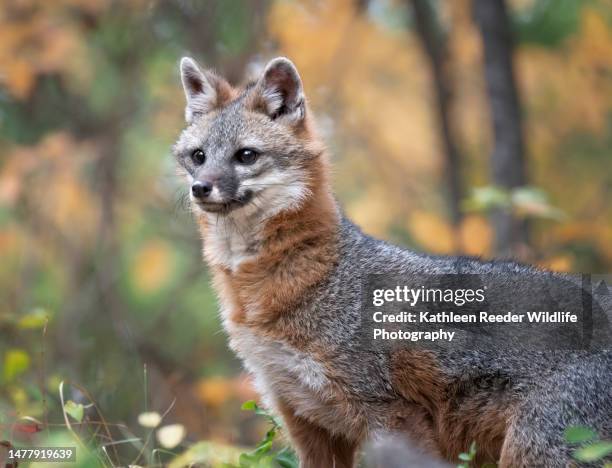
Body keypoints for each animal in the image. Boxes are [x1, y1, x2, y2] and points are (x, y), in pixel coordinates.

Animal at [173, 56, 612, 466]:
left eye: (246, 155)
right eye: (198, 156)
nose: (200, 188)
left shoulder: (392, 416)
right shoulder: (305, 420)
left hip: (532, 450)